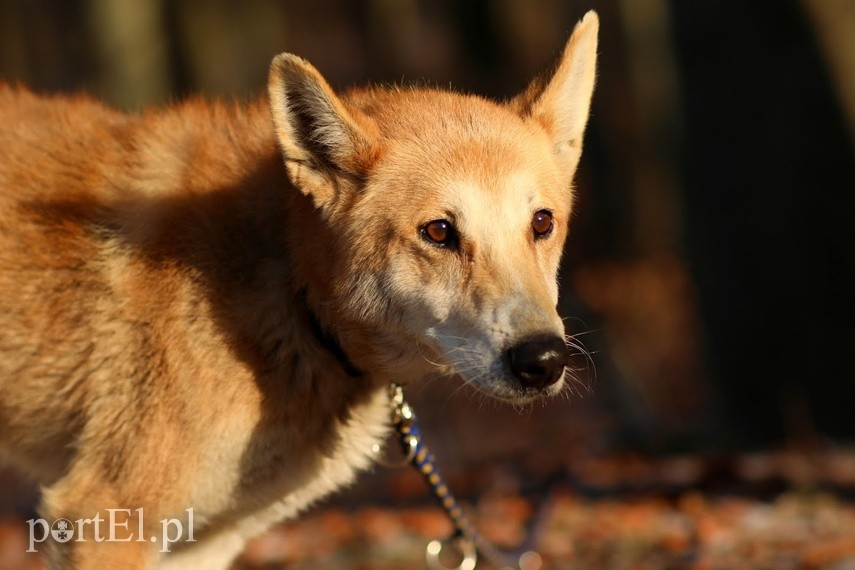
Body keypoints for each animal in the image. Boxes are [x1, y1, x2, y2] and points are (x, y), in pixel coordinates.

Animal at [0, 11, 600, 564]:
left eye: (541, 223)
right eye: (439, 232)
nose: (544, 361)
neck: (287, 285)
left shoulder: (203, 543)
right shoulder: (105, 514)